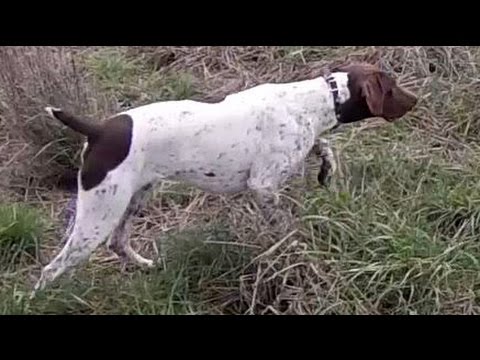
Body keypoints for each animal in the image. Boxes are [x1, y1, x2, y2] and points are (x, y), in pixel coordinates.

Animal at [31, 63, 418, 296]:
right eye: (392, 88)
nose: (416, 99)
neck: (315, 101)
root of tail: (97, 130)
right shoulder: (262, 186)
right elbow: (288, 229)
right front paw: (295, 250)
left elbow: (324, 147)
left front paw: (326, 169)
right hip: (98, 214)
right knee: (51, 270)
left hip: (134, 198)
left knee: (118, 243)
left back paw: (147, 266)